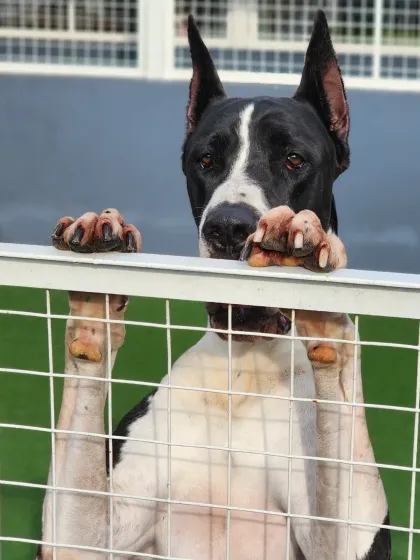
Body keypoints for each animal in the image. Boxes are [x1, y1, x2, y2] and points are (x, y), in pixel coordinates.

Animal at [37, 11, 390, 560]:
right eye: (205, 160)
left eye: (294, 159)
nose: (227, 227)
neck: (244, 363)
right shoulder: (80, 540)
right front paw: (95, 296)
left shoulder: (347, 536)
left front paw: (309, 263)